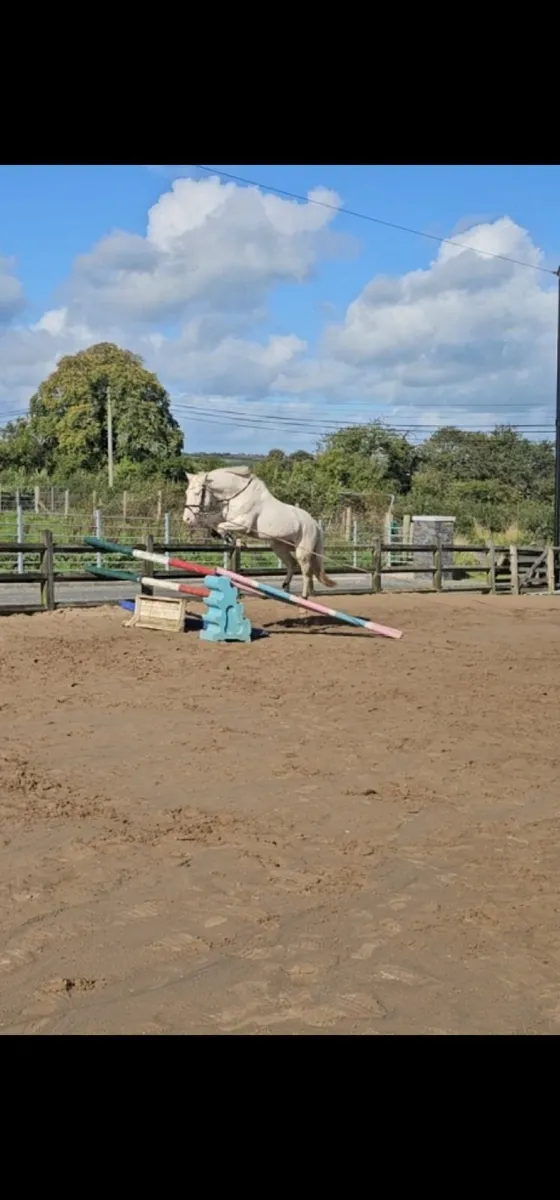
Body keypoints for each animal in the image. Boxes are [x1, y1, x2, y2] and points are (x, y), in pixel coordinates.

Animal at [183, 466, 335, 600]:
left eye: (197, 493)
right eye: (186, 493)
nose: (187, 519)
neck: (237, 495)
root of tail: (315, 524)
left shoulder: (243, 524)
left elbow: (221, 526)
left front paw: (231, 538)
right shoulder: (226, 517)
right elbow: (214, 521)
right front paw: (217, 534)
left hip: (303, 551)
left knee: (306, 571)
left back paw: (303, 596)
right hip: (279, 546)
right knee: (292, 564)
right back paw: (285, 588)